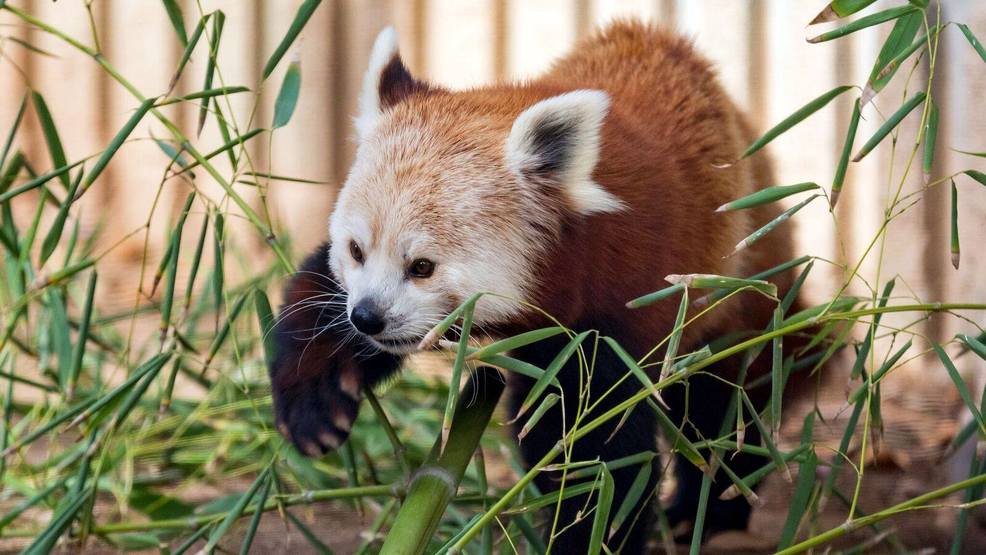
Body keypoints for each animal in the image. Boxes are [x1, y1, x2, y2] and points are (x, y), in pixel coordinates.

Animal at [270, 20, 792, 552]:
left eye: (421, 267)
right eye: (356, 251)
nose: (367, 318)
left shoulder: (621, 302)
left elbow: (596, 447)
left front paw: (587, 531)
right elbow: (315, 297)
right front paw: (317, 403)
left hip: (735, 291)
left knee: (723, 406)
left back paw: (707, 509)